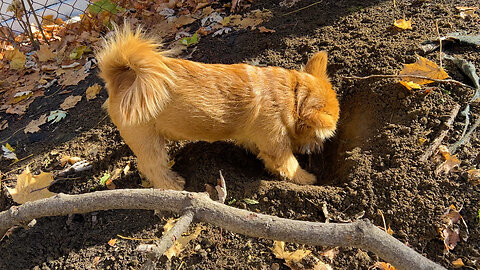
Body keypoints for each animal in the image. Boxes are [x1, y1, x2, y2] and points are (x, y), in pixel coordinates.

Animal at [95, 25, 340, 190]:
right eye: (319, 135)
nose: (319, 150)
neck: (292, 95)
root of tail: (121, 78)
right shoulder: (276, 144)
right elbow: (289, 165)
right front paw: (306, 179)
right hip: (148, 142)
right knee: (152, 166)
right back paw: (172, 184)